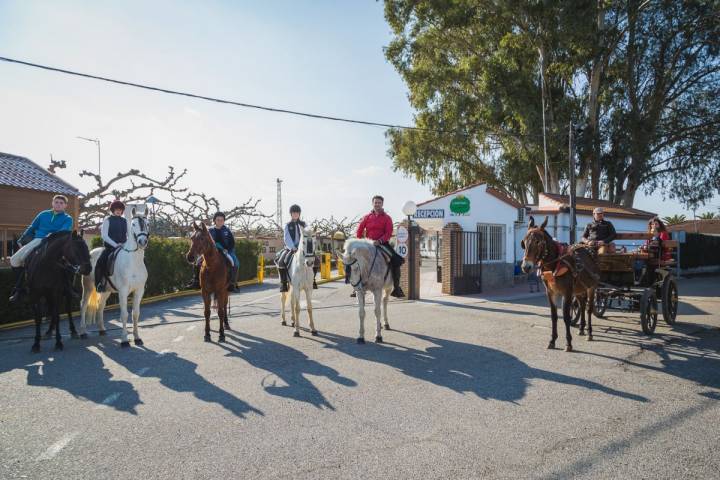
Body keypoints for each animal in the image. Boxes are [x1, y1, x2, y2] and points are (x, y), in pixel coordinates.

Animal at [79, 204, 150, 346]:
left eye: (147, 224)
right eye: (133, 224)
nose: (142, 241)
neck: (133, 261)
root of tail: (92, 252)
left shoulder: (139, 290)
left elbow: (135, 314)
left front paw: (137, 338)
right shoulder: (123, 291)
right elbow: (124, 315)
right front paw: (124, 340)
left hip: (106, 291)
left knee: (100, 306)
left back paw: (101, 329)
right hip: (88, 287)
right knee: (83, 305)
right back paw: (83, 332)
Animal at [520, 216, 600, 350]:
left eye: (538, 242)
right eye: (524, 242)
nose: (526, 267)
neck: (554, 264)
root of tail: (589, 251)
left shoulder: (566, 292)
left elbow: (566, 316)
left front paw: (568, 343)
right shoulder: (550, 292)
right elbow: (554, 316)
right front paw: (552, 340)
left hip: (591, 287)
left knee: (589, 309)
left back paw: (589, 332)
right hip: (578, 289)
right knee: (582, 305)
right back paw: (581, 328)